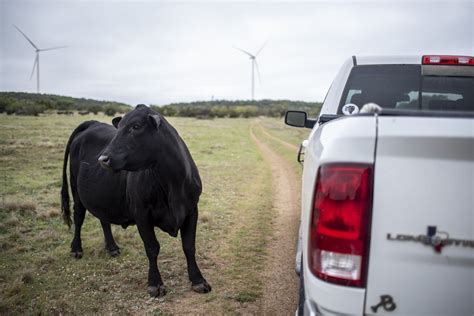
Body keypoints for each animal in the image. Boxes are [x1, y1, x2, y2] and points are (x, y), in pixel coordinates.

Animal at [60, 105, 211, 298]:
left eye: (136, 126)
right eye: (119, 127)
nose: (102, 159)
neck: (172, 184)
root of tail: (92, 123)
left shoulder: (191, 209)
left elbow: (189, 245)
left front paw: (198, 280)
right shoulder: (142, 214)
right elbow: (152, 248)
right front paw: (155, 284)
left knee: (104, 219)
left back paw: (112, 247)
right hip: (76, 188)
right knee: (78, 217)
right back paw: (76, 249)